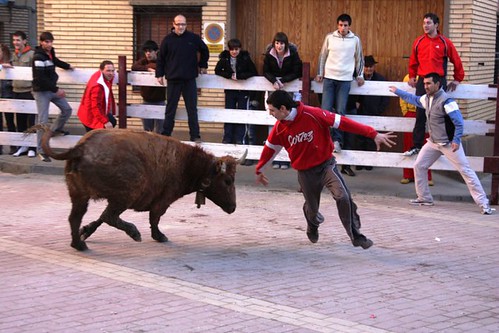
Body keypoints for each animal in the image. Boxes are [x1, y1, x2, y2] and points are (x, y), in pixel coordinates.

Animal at [38, 126, 242, 249]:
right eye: (228, 181)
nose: (233, 207)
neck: (186, 161)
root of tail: (81, 147)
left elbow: (98, 219)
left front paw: (86, 231)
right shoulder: (163, 200)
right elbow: (155, 218)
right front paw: (159, 236)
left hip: (80, 196)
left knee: (76, 217)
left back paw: (78, 244)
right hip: (126, 193)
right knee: (109, 216)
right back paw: (134, 232)